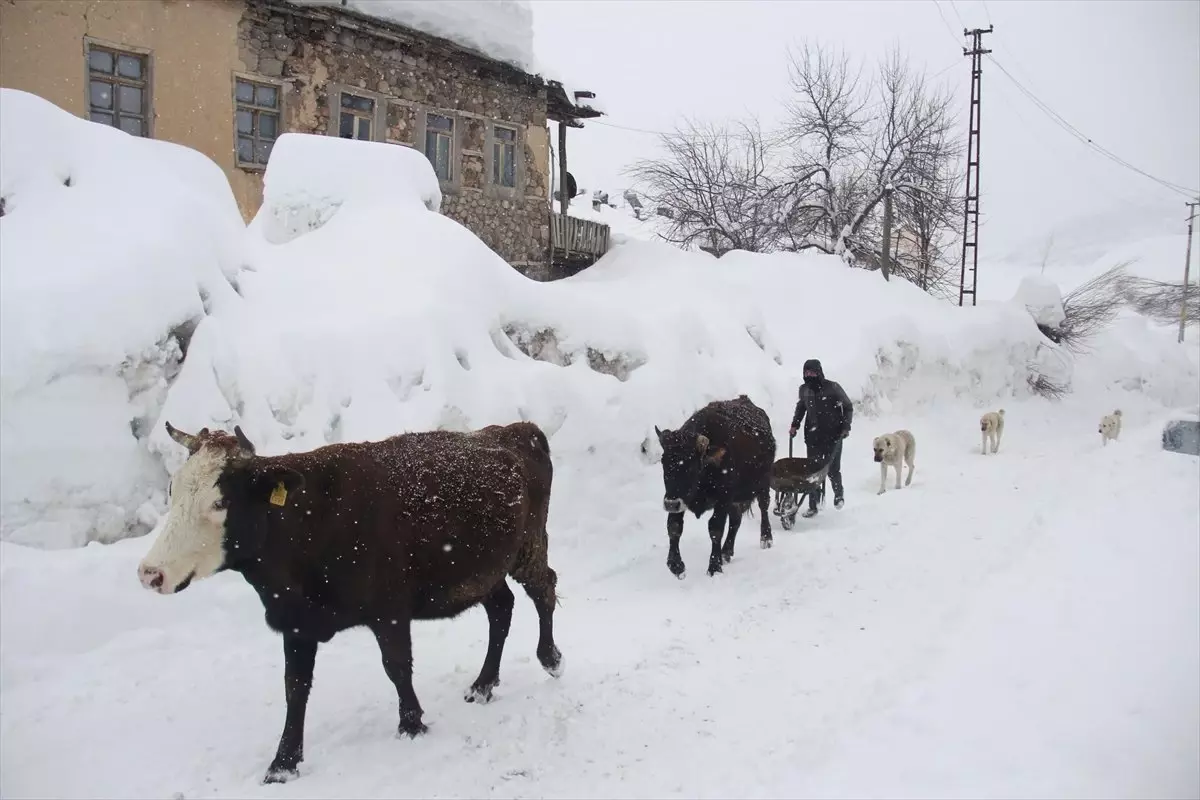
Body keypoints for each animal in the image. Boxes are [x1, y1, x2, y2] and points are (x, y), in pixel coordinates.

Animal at [137, 422, 561, 786]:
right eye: (173, 490)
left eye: (220, 501)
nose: (149, 573)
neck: (307, 527)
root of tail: (516, 430)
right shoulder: (295, 621)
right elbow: (295, 687)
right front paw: (283, 763)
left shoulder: (389, 610)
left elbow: (397, 668)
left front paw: (412, 725)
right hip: (486, 570)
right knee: (501, 608)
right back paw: (484, 685)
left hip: (529, 547)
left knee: (544, 589)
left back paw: (550, 658)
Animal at [657, 395, 777, 578]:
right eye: (664, 462)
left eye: (691, 466)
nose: (670, 504)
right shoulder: (681, 500)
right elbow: (674, 527)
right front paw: (676, 565)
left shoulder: (723, 498)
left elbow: (715, 528)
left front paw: (714, 566)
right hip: (736, 499)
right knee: (736, 520)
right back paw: (726, 551)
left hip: (762, 484)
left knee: (763, 507)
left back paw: (766, 538)